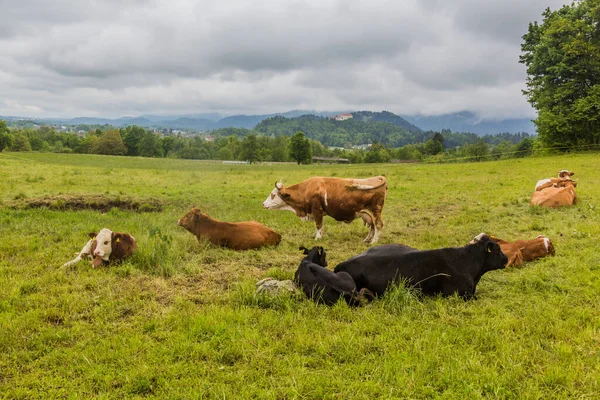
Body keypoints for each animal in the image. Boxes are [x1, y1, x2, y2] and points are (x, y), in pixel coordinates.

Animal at [262, 177, 390, 244]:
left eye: (273, 195)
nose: (263, 204)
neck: (307, 189)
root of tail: (379, 177)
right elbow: (320, 226)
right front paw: (321, 236)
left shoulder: (317, 210)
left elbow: (318, 225)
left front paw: (317, 238)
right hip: (368, 214)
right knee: (372, 226)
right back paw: (367, 239)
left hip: (375, 211)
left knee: (378, 224)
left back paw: (373, 241)